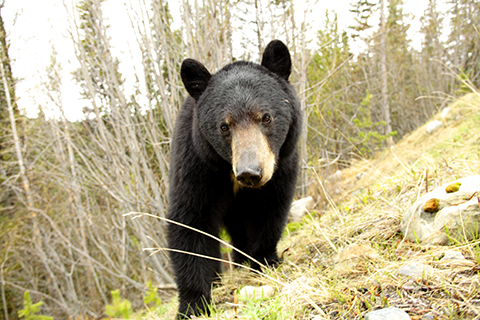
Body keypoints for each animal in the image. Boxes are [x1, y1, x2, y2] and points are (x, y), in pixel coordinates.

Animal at [167, 39, 298, 318]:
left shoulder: (281, 164)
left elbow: (269, 209)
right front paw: (193, 304)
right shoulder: (197, 164)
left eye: (266, 117)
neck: (228, 171)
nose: (250, 173)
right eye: (224, 127)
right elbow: (190, 220)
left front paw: (264, 260)